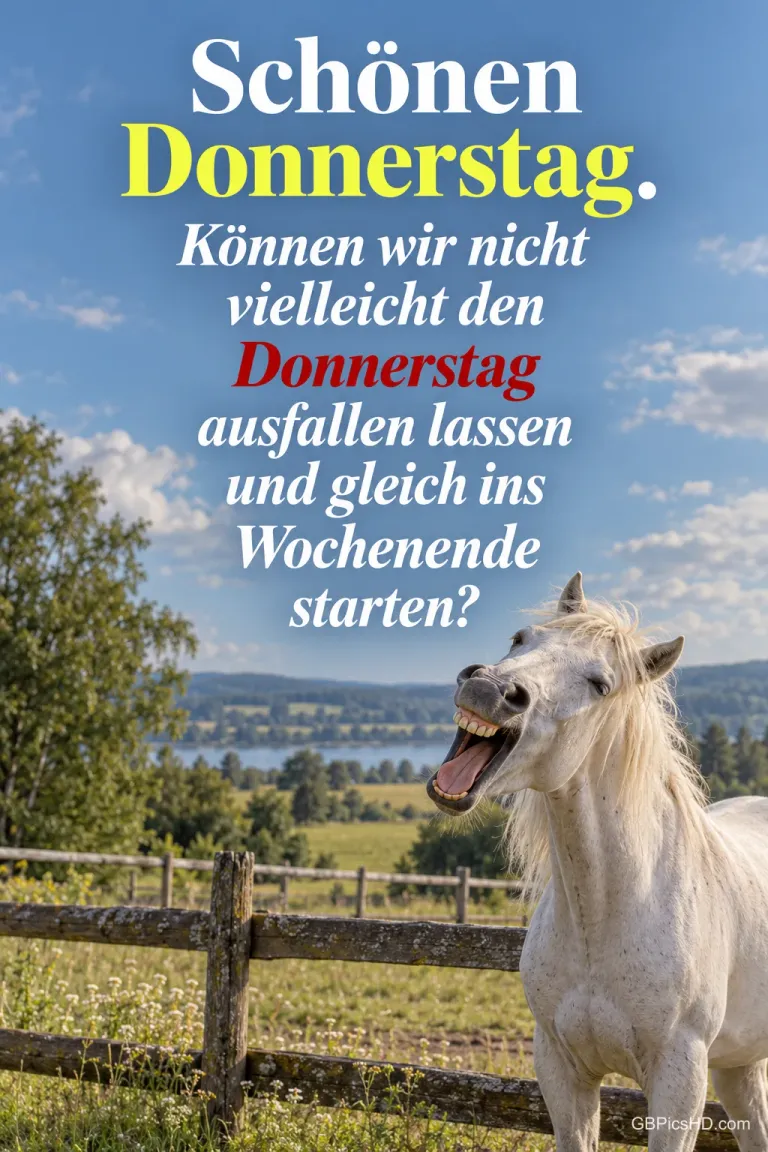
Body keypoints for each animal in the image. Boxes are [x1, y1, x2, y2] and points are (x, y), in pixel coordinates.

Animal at [427, 573, 768, 1151]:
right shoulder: (562, 1069)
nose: (490, 689)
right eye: (520, 639)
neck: (606, 910)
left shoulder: (679, 1080)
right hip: (737, 1065)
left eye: (600, 684)